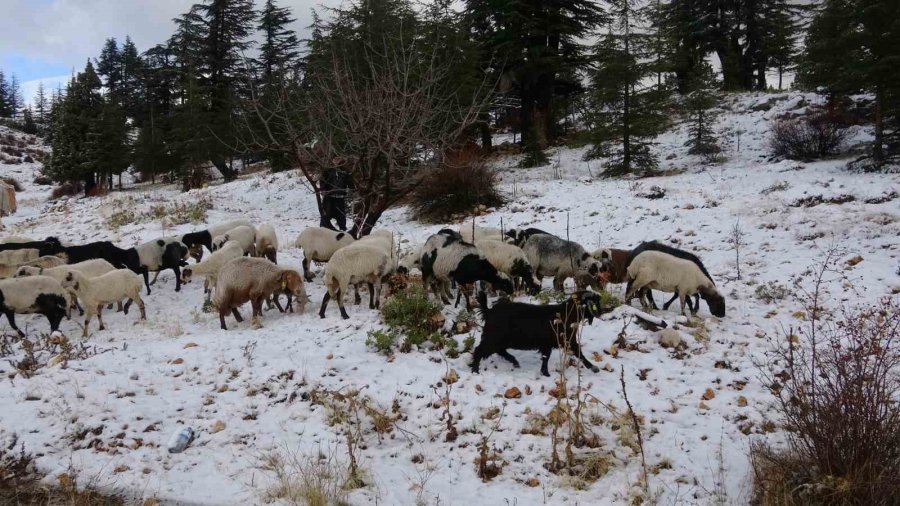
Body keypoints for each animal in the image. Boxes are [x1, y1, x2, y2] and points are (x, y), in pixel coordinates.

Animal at [468, 290, 608, 378]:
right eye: (595, 302)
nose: (602, 312)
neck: (565, 314)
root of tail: (488, 311)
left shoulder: (554, 343)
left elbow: (548, 357)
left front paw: (545, 373)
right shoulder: (563, 342)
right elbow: (578, 353)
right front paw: (594, 367)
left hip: (501, 340)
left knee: (500, 351)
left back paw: (514, 362)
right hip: (493, 338)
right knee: (479, 351)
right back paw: (475, 370)